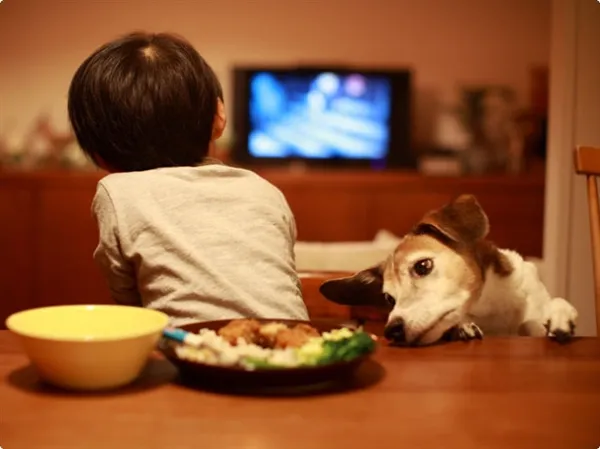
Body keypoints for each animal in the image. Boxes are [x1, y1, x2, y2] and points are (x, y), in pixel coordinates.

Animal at [318, 194, 576, 344]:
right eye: (389, 299)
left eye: (423, 266)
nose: (392, 331)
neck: (490, 307)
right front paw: (462, 327)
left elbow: (541, 315)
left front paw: (559, 318)